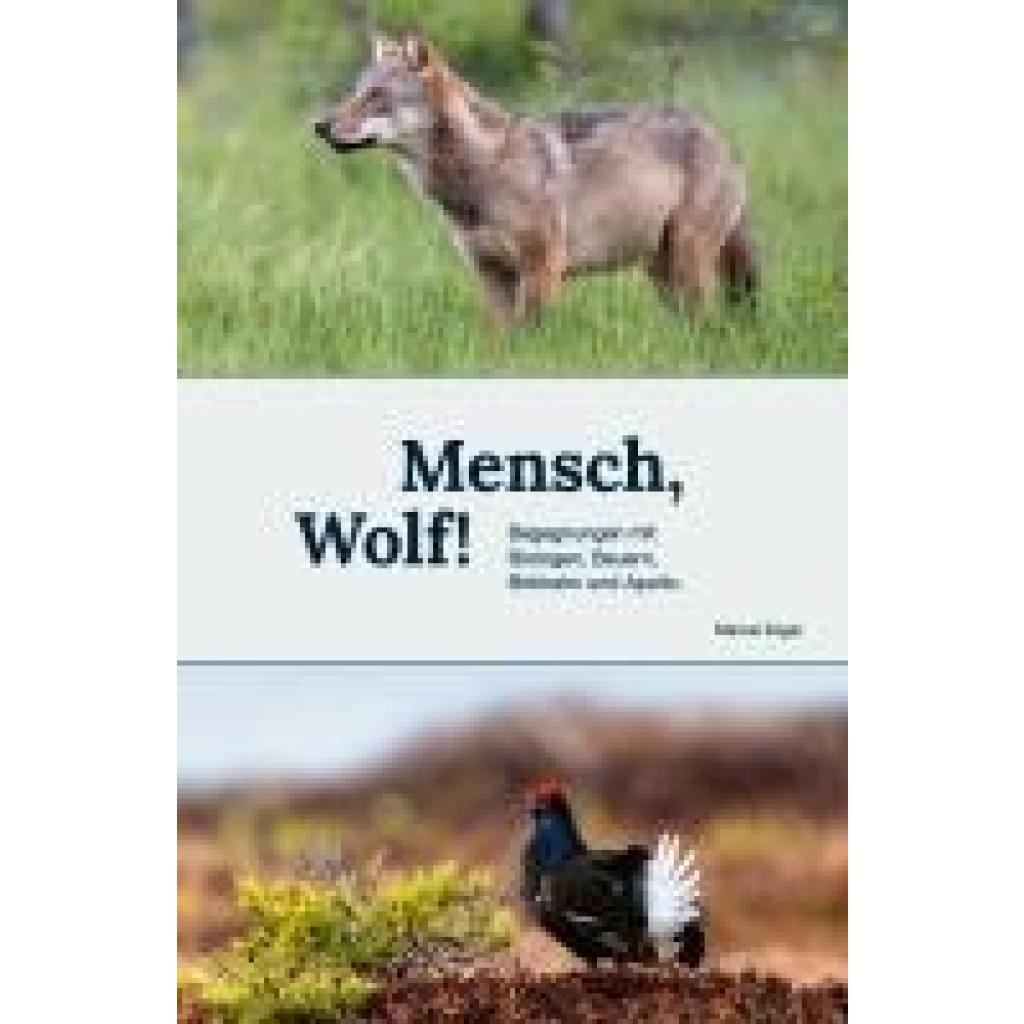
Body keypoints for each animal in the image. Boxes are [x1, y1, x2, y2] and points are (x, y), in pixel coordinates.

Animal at [314, 35, 756, 327]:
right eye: (354, 93)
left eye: (376, 95)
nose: (320, 126)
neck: (482, 169)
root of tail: (722, 137)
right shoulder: (491, 274)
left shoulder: (541, 267)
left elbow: (532, 337)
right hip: (662, 271)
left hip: (686, 262)